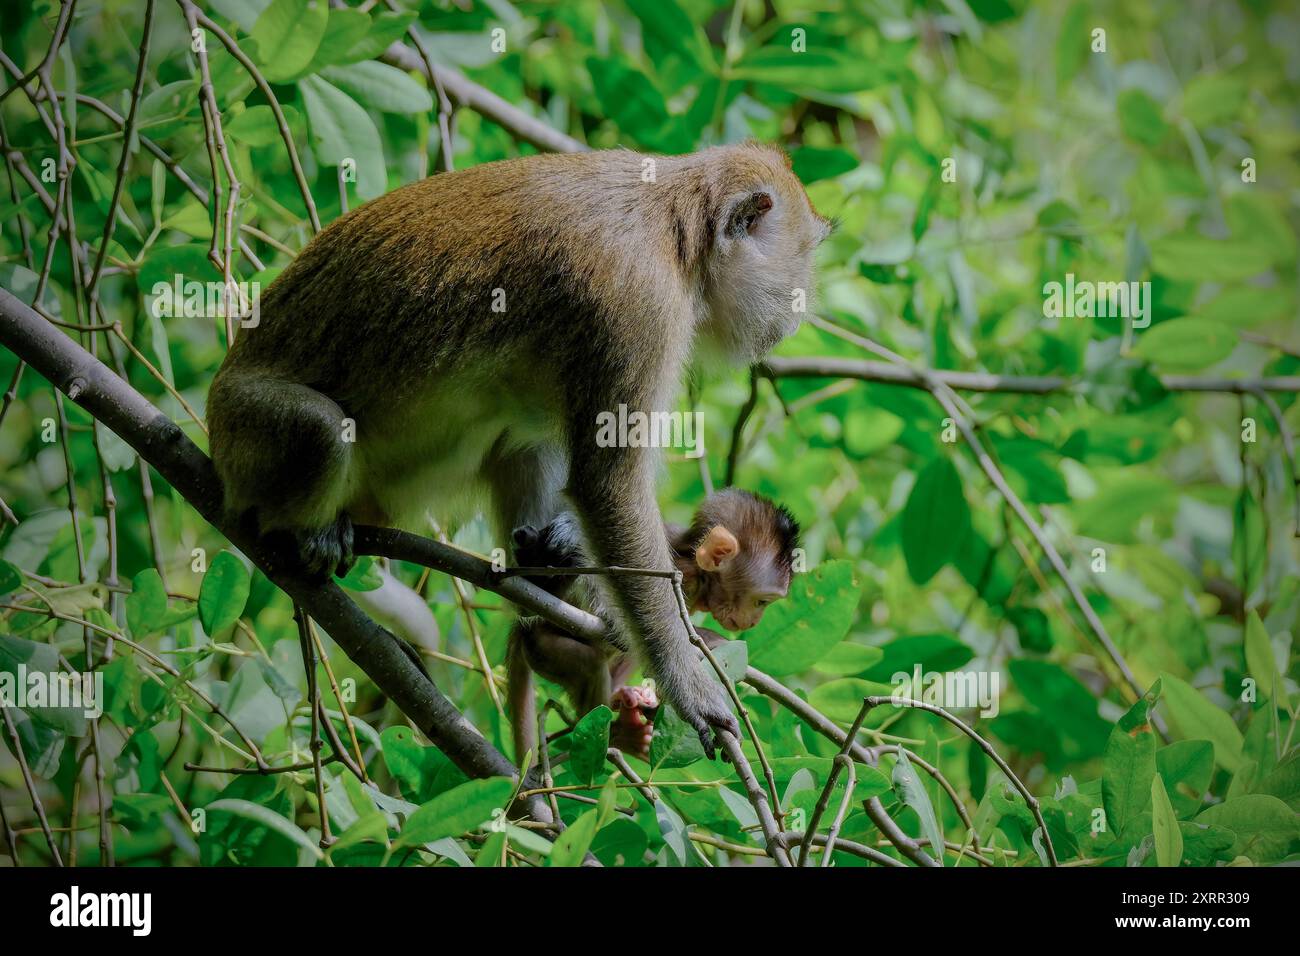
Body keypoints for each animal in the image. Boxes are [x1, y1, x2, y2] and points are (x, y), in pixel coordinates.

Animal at [504, 494, 790, 764]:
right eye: (762, 601)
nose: (754, 622)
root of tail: (519, 632)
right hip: (542, 648)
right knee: (591, 665)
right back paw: (616, 734)